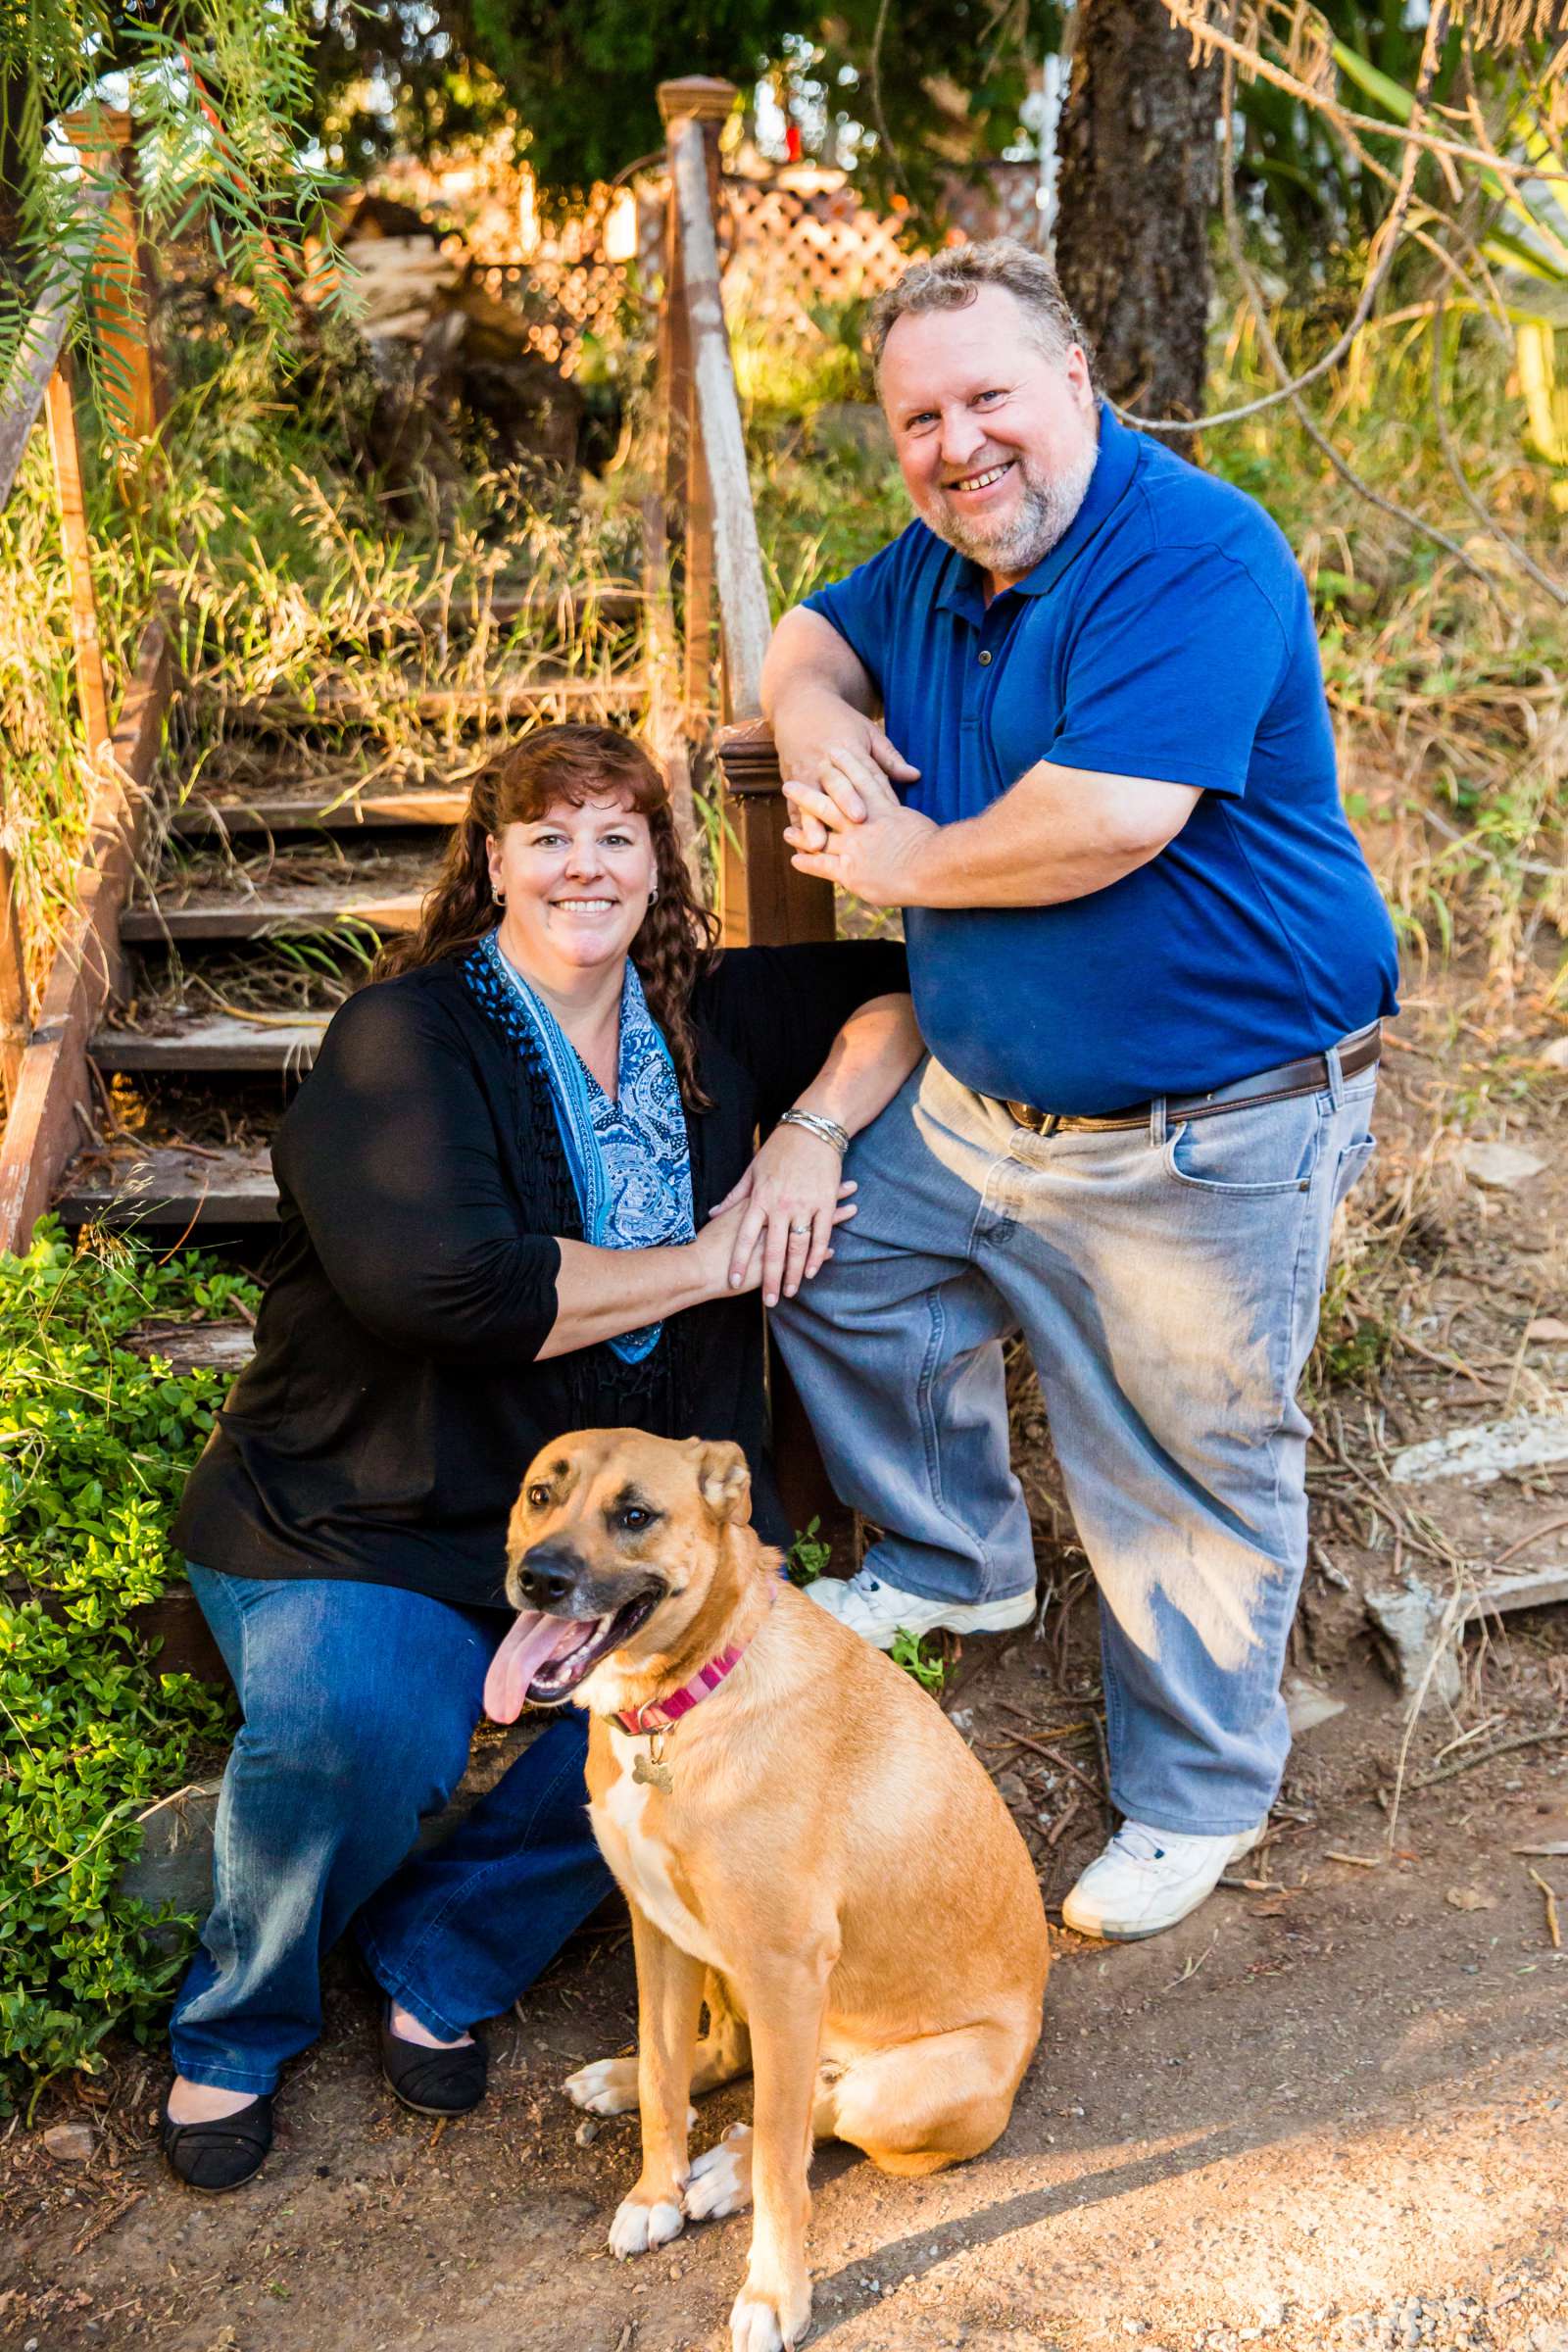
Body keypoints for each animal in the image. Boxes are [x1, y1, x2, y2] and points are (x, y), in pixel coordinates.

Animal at [484, 1430, 1048, 2352]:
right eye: (541, 1494)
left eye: (635, 1515)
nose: (540, 1578)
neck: (681, 1707)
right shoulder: (656, 1929)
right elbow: (665, 2082)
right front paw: (654, 2189)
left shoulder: (787, 1970)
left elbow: (787, 2160)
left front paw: (775, 2294)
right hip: (720, 1964)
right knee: (728, 2057)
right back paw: (627, 2086)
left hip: (891, 2090)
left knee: (818, 2112)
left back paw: (727, 2171)